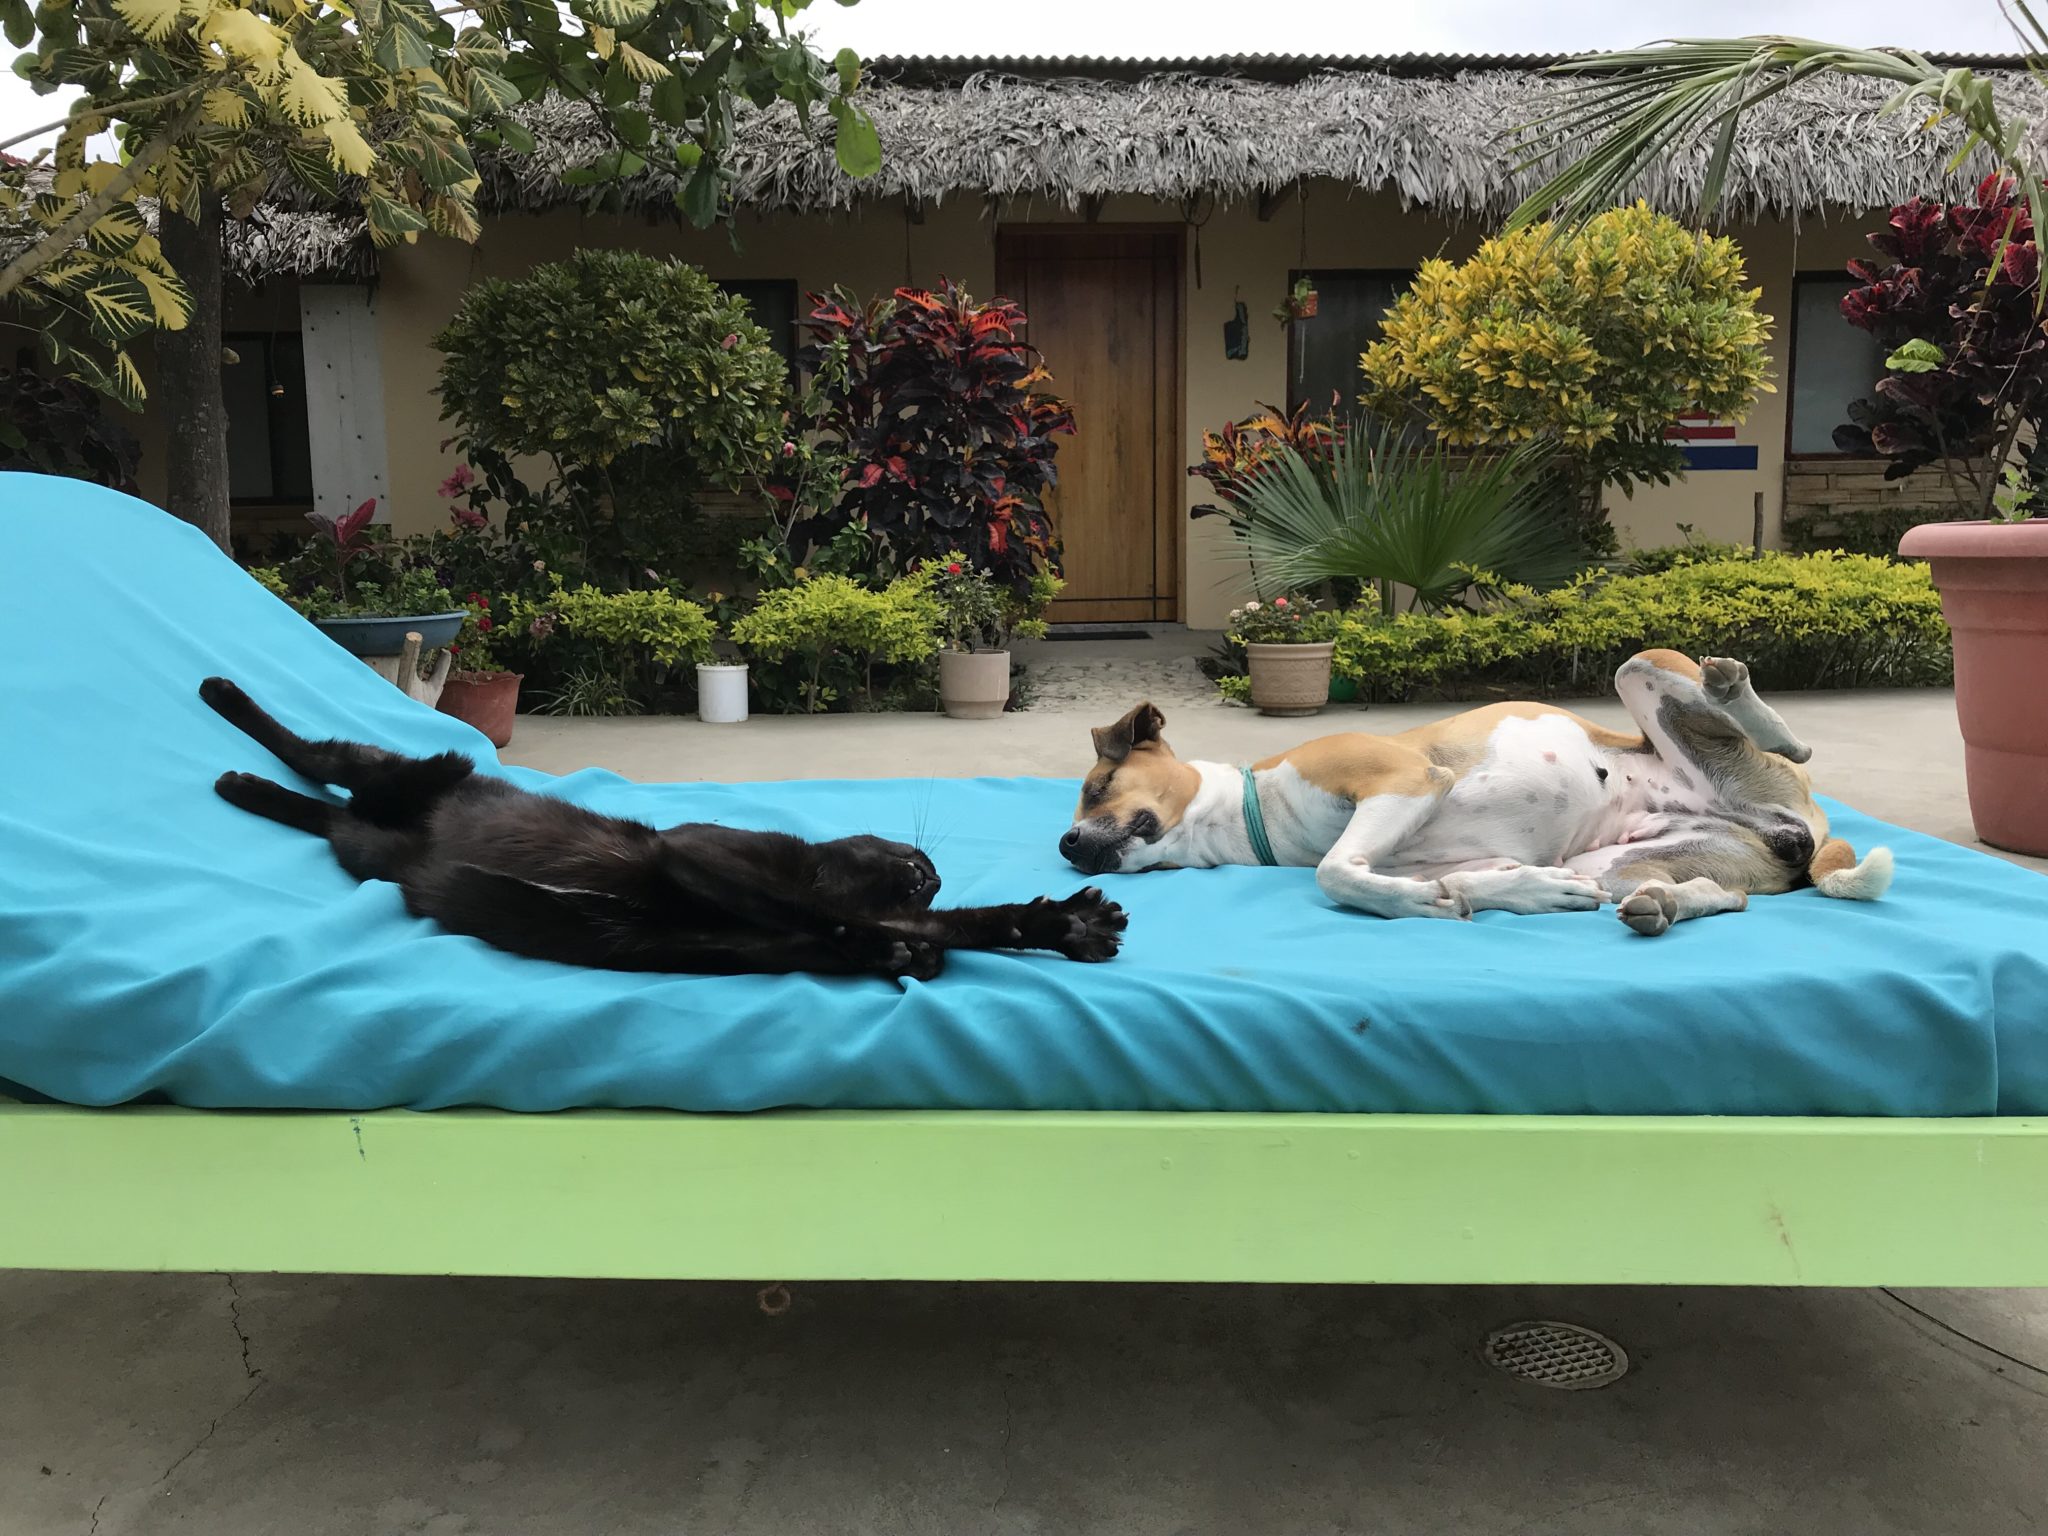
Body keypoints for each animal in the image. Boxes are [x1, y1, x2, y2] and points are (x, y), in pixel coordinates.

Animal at [201, 675, 1130, 987]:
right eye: (911, 858)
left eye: (929, 877)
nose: (927, 873)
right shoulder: (703, 853)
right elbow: (823, 913)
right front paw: (892, 948)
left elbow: (966, 929)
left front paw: (1066, 924)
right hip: (417, 775)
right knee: (322, 754)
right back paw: (226, 722)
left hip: (371, 851)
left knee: (326, 810)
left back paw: (243, 785)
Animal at [1064, 651, 1892, 937]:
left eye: (1097, 785)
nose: (1068, 844)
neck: (1257, 815)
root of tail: (1802, 825)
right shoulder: (1447, 858)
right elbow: (1465, 884)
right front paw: (1522, 894)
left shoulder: (1402, 782)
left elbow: (1334, 874)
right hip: (1636, 860)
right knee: (1726, 896)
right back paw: (1664, 905)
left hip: (1652, 676)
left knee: (1745, 716)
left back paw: (1753, 707)